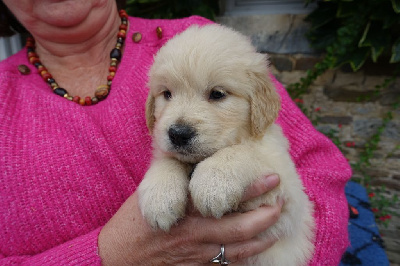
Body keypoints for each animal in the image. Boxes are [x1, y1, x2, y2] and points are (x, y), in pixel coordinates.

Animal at [139, 23, 314, 264]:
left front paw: (213, 184)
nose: (178, 134)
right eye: (167, 94)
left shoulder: (284, 195)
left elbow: (243, 152)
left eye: (217, 94)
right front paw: (160, 196)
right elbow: (167, 159)